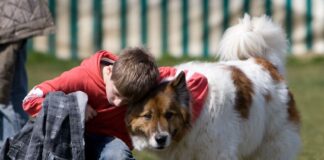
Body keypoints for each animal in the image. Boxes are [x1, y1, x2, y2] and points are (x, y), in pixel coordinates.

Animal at [125, 14, 300, 159]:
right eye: (147, 116)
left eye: (169, 114)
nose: (160, 139)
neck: (193, 105)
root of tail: (267, 64)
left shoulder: (218, 152)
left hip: (273, 144)